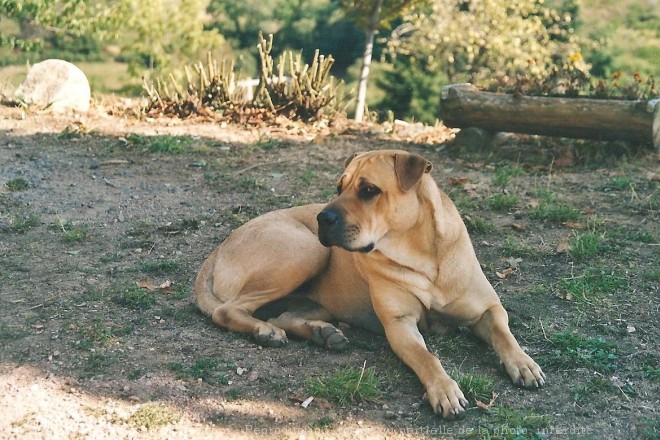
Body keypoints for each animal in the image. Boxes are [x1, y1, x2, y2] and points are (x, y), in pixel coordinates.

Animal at [196, 150, 548, 418]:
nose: (323, 218)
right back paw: (264, 331)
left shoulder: (488, 309)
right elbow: (427, 357)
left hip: (315, 289)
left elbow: (504, 333)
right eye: (339, 187)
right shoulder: (400, 325)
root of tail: (217, 250)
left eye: (369, 190)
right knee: (228, 311)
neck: (422, 254)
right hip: (306, 250)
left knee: (282, 315)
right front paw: (444, 389)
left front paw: (524, 363)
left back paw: (321, 334)